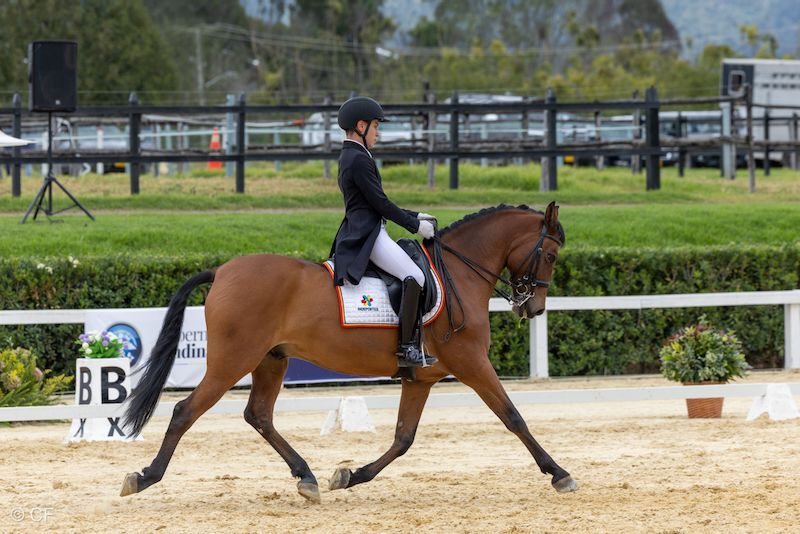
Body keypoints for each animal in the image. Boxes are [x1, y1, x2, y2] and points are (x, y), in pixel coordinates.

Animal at [120, 200, 576, 502]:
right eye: (551, 255)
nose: (534, 309)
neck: (459, 273)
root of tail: (222, 270)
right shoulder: (472, 363)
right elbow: (514, 417)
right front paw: (559, 473)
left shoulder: (422, 378)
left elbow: (403, 438)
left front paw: (351, 475)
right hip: (232, 361)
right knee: (186, 411)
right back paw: (145, 477)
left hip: (272, 359)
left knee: (259, 416)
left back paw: (306, 477)